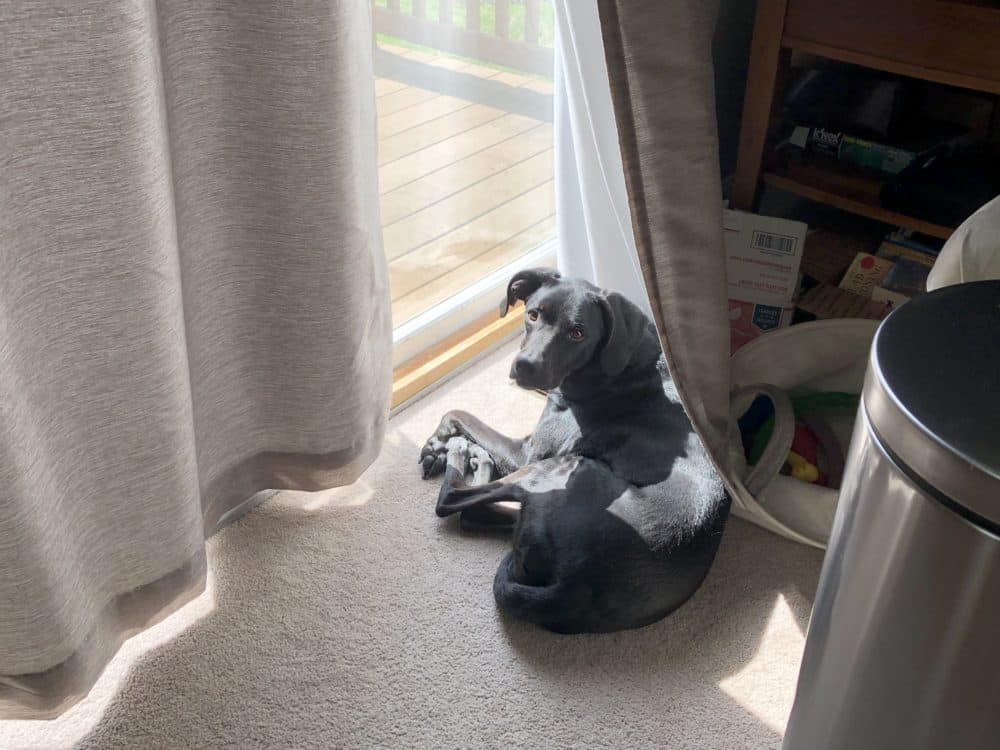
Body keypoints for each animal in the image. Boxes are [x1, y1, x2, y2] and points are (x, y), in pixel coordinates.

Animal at [418, 270, 732, 636]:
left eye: (577, 333)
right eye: (532, 314)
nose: (524, 366)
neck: (620, 363)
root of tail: (575, 588)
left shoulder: (529, 453)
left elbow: (458, 411)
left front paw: (439, 442)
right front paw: (438, 448)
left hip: (560, 468)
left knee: (454, 501)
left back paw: (465, 456)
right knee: (483, 513)